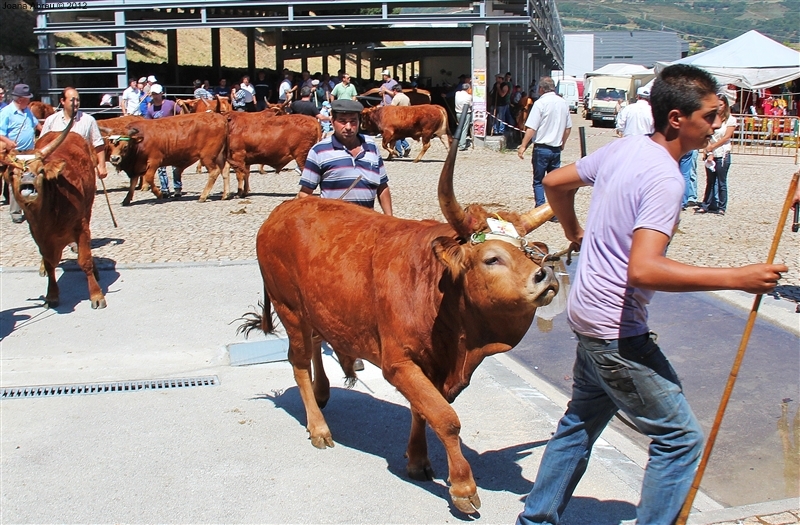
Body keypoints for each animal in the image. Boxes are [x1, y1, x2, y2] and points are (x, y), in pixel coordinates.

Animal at [0, 121, 106, 310]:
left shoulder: (81, 227)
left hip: (88, 208)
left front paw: (96, 294)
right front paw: (51, 295)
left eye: (40, 170)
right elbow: (50, 264)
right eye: (12, 172)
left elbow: (84, 260)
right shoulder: (38, 234)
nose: (27, 177)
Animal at [241, 135, 560, 512]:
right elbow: (445, 419)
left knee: (317, 343)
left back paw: (322, 392)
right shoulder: (399, 363)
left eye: (528, 252)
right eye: (491, 258)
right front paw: (462, 486)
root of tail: (284, 211)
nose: (546, 275)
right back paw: (319, 427)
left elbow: (423, 411)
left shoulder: (432, 365)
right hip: (289, 308)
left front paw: (418, 460)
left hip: (314, 309)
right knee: (299, 362)